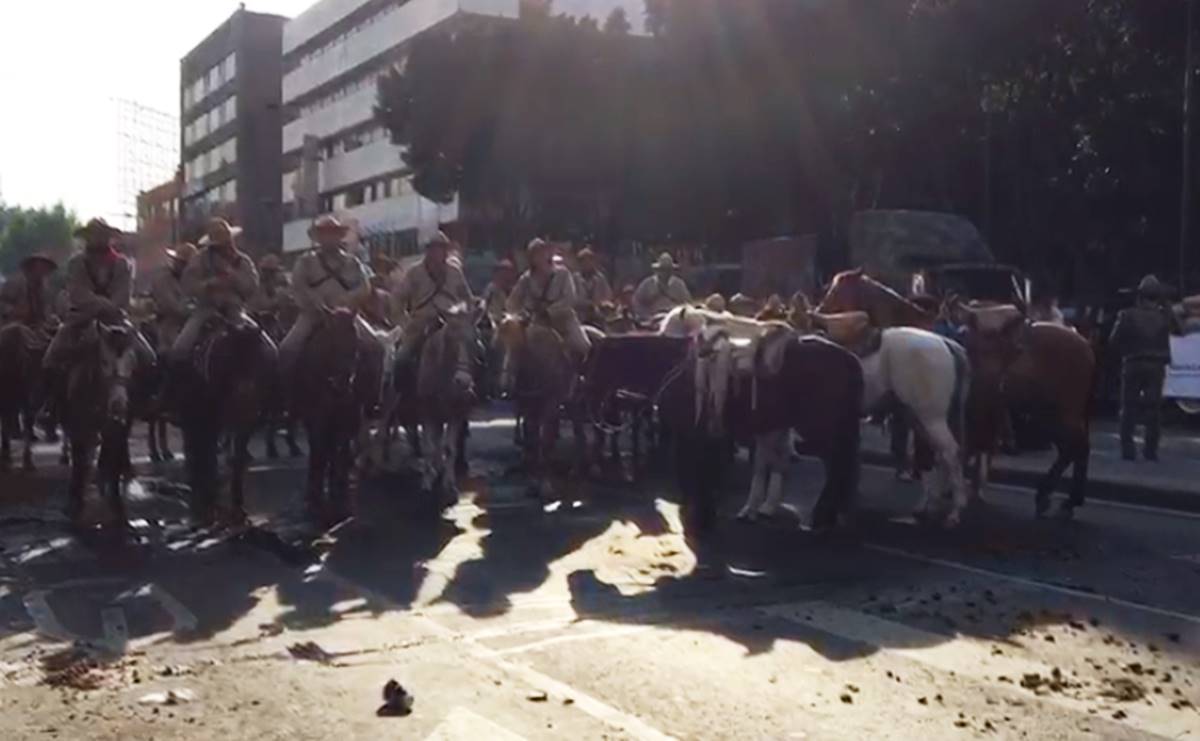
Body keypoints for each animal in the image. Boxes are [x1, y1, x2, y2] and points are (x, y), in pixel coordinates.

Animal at [62, 323, 145, 529]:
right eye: (104, 362)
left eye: (132, 363)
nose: (119, 405)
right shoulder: (78, 427)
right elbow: (79, 461)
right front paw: (75, 505)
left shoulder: (117, 430)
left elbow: (112, 462)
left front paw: (117, 506)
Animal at [174, 314, 276, 522]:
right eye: (228, 356)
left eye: (259, 358)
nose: (245, 394)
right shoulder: (209, 420)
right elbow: (207, 456)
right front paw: (207, 502)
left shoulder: (246, 421)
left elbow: (236, 458)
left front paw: (237, 506)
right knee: (195, 451)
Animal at [955, 303, 1099, 515]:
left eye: (1013, 351)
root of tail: (1087, 347)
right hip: (1047, 413)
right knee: (1071, 449)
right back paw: (1059, 498)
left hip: (1063, 412)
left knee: (1077, 446)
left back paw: (1062, 499)